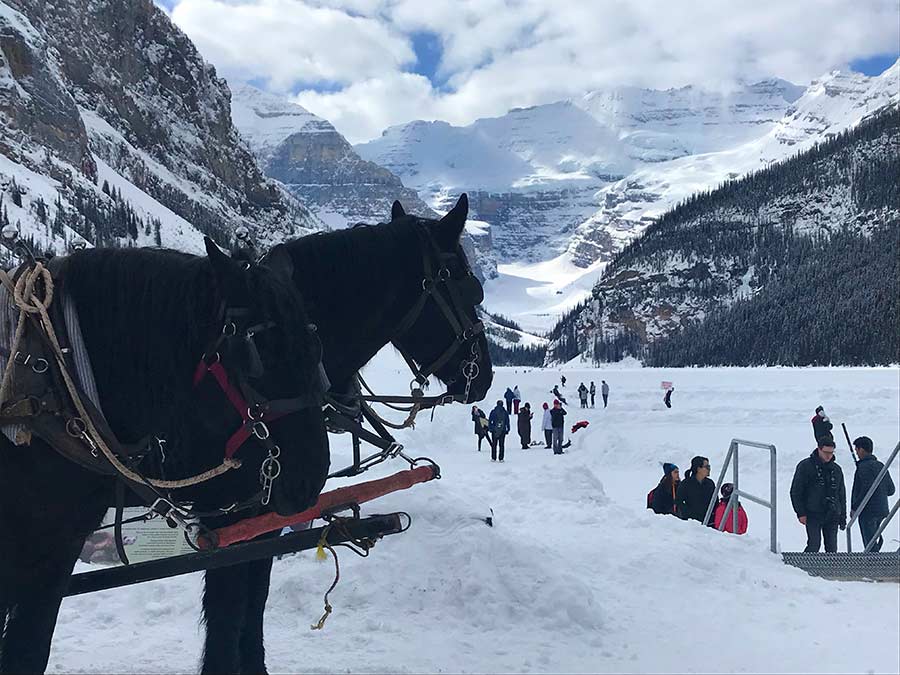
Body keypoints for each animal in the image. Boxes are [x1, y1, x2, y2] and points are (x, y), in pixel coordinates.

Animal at [200, 193, 494, 673]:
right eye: (471, 288)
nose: (484, 376)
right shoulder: (225, 519)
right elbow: (226, 613)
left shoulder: (263, 516)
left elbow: (254, 600)